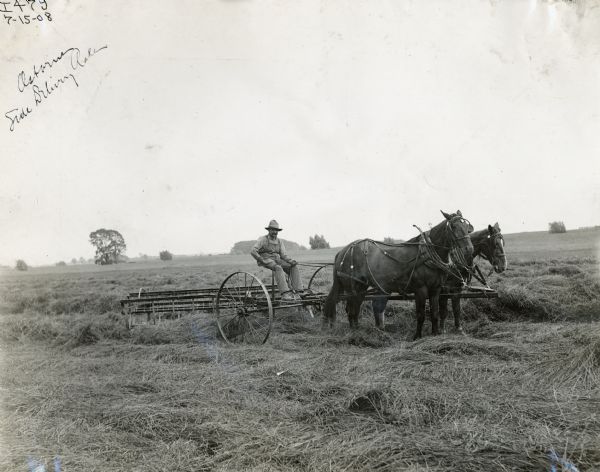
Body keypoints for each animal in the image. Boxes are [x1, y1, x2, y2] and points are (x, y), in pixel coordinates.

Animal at [324, 210, 474, 340]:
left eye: (466, 226)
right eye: (453, 226)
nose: (469, 248)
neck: (427, 254)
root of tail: (342, 251)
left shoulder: (436, 289)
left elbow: (435, 313)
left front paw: (435, 334)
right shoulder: (420, 289)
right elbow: (420, 314)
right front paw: (417, 336)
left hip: (361, 288)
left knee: (354, 309)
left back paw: (359, 331)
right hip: (352, 288)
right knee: (351, 310)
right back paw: (354, 334)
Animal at [372, 222, 508, 336]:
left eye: (503, 242)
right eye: (495, 243)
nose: (503, 266)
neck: (455, 260)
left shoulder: (456, 288)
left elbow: (456, 309)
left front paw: (459, 329)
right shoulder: (445, 289)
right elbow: (443, 310)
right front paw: (442, 330)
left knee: (378, 304)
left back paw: (380, 328)